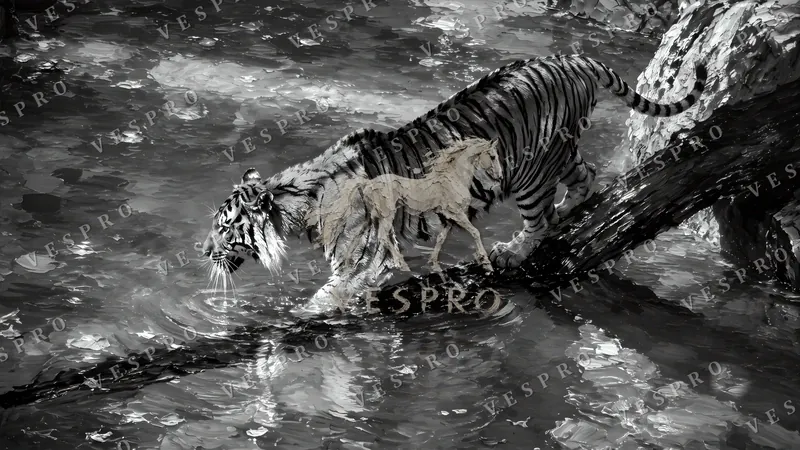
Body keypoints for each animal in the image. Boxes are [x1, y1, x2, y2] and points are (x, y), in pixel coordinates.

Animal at [202, 54, 707, 311]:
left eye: (225, 228)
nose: (202, 252)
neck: (296, 203)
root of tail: (571, 58)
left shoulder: (361, 260)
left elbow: (327, 295)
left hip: (528, 171)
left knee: (540, 219)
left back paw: (514, 249)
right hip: (559, 152)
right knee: (585, 176)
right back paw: (570, 209)